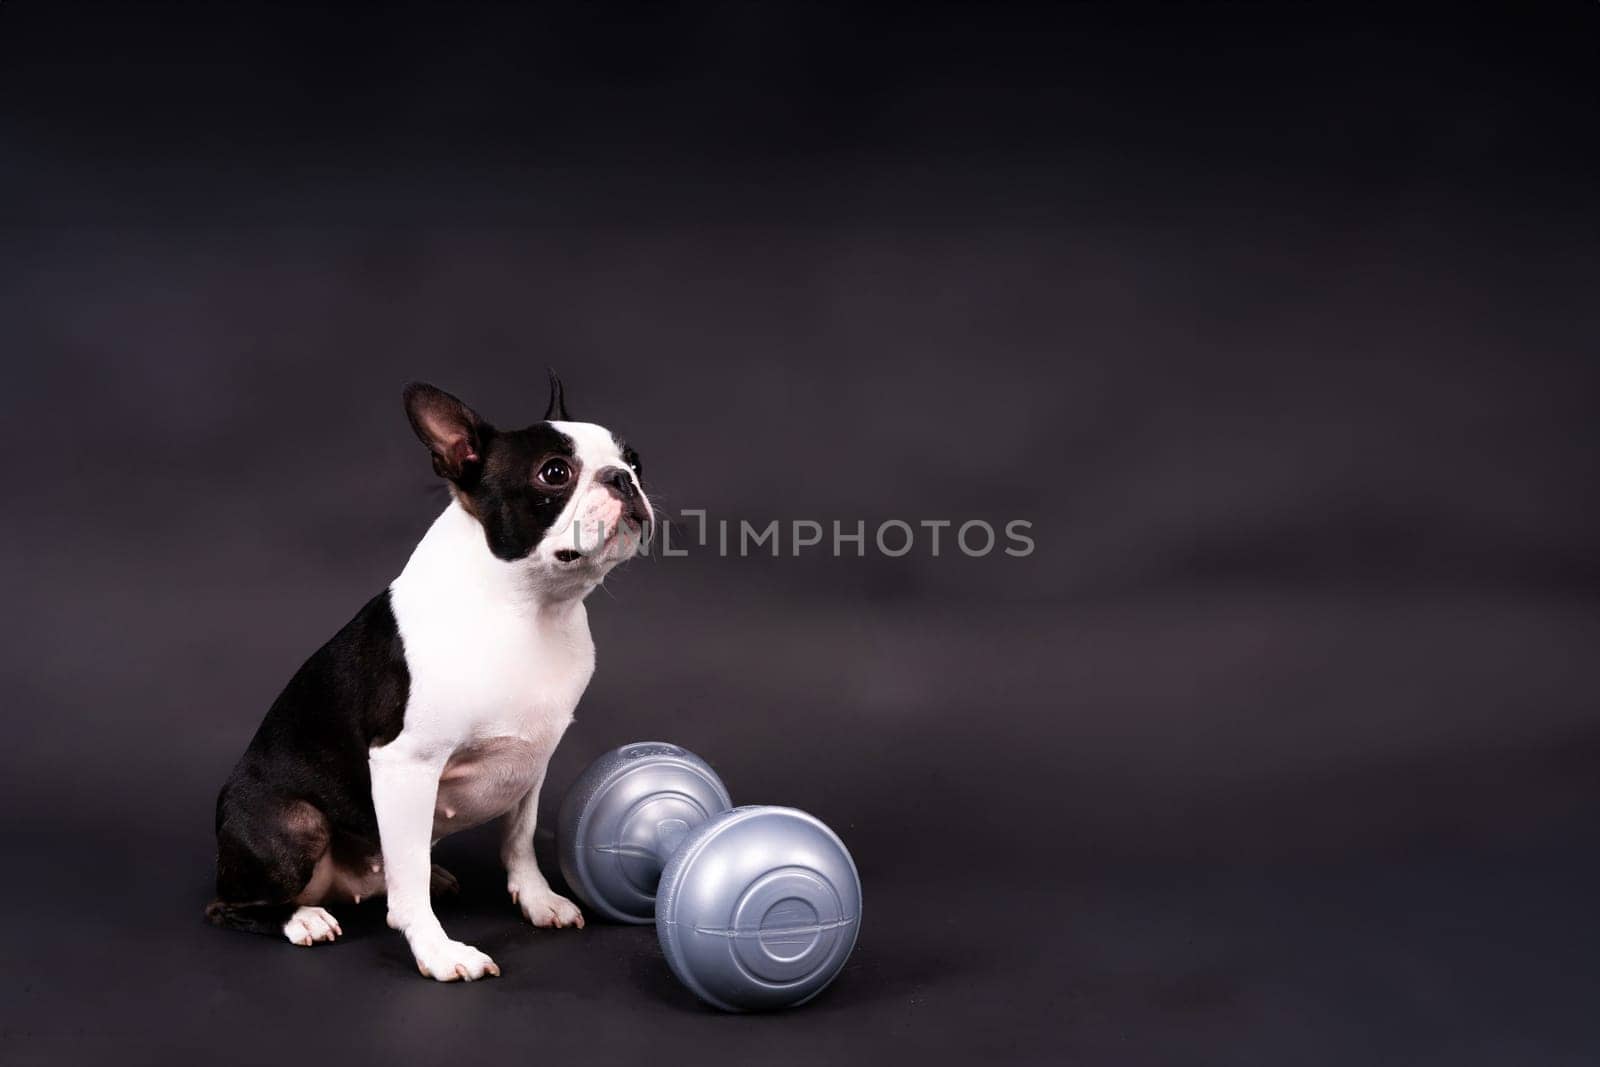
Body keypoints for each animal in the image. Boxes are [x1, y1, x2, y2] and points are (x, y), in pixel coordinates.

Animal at [206, 377, 649, 985]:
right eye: (554, 472)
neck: (530, 608)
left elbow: (520, 840)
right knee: (232, 906)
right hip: (294, 823)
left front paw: (538, 901)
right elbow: (410, 878)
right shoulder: (405, 763)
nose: (623, 478)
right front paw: (438, 951)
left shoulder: (533, 761)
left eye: (635, 460)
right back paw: (302, 918)